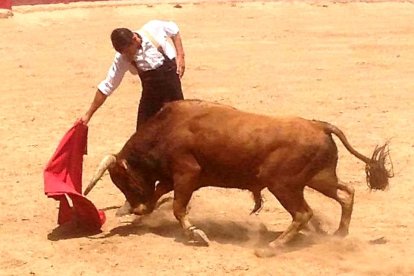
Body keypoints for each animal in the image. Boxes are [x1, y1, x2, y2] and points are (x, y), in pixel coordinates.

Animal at [83, 100, 392, 251]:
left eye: (122, 180)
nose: (134, 207)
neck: (165, 129)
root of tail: (319, 125)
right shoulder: (174, 178)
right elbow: (163, 196)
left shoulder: (186, 174)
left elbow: (178, 208)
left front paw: (198, 235)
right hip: (319, 178)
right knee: (347, 193)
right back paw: (339, 234)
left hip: (283, 184)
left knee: (303, 213)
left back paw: (273, 246)